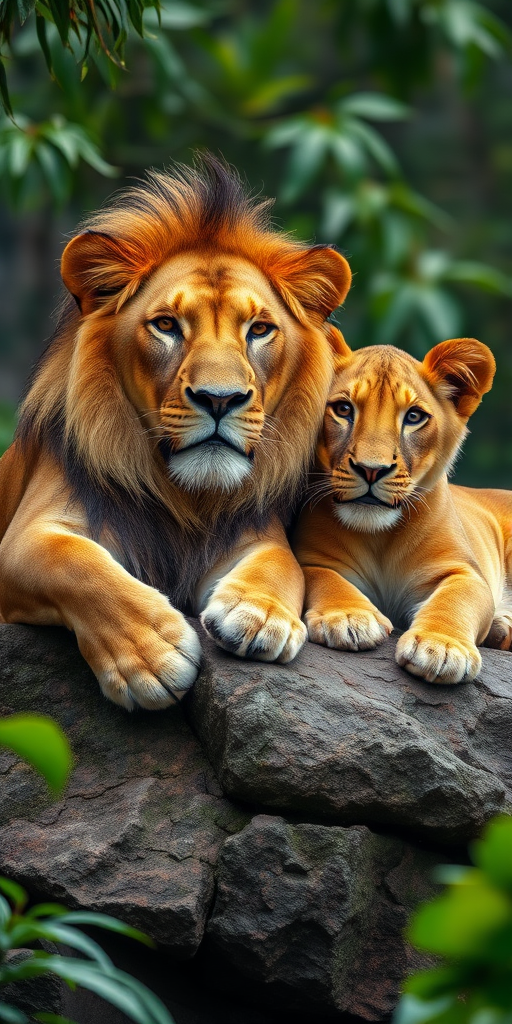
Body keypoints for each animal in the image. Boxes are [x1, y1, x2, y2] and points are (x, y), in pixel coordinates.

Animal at [0, 156, 351, 710]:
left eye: (259, 329)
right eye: (166, 325)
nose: (219, 399)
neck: (187, 499)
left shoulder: (251, 530)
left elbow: (283, 563)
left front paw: (259, 617)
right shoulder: (29, 535)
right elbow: (75, 563)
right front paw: (152, 655)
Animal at [293, 335, 512, 684]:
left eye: (413, 417)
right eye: (343, 409)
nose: (371, 470)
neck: (380, 537)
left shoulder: (463, 570)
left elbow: (455, 600)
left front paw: (441, 647)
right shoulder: (313, 557)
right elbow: (324, 578)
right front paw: (349, 617)